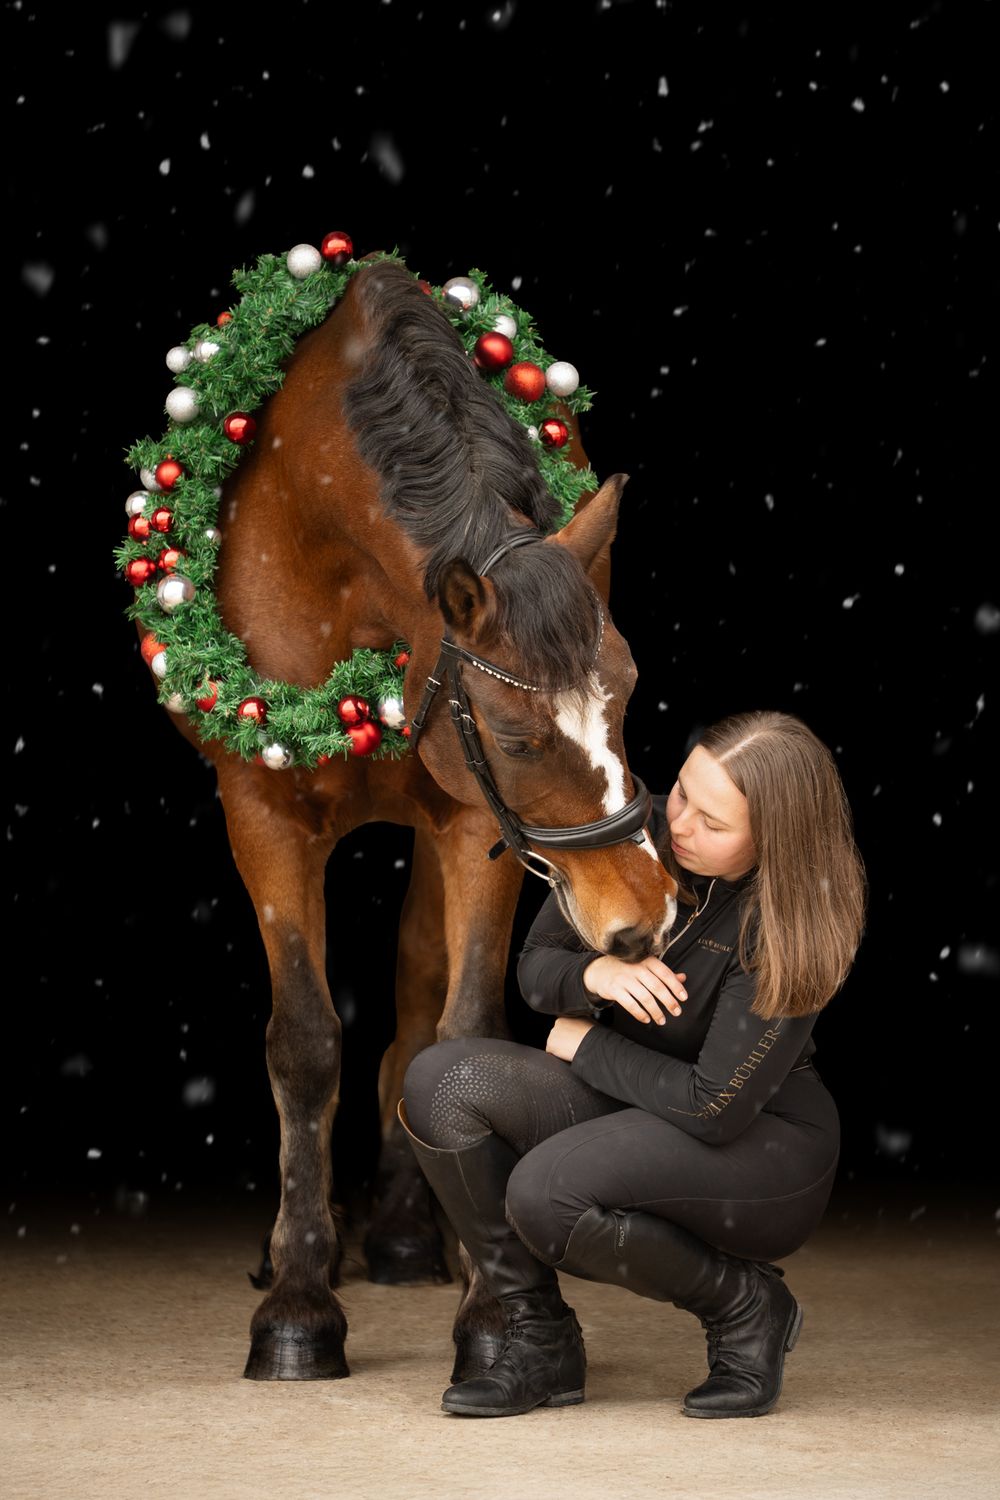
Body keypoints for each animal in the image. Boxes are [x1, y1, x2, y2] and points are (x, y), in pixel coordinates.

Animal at [135, 254, 678, 1382]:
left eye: (627, 690)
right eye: (516, 733)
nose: (644, 913)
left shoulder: (478, 828)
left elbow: (458, 1028)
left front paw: (494, 1306)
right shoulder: (260, 811)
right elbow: (303, 1043)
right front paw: (298, 1304)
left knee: (418, 1004)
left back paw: (401, 1230)